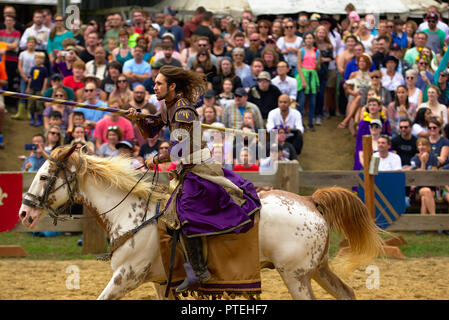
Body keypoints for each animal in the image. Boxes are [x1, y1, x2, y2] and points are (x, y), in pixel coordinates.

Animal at [16, 146, 382, 300]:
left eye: (45, 176)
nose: (24, 213)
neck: (133, 215)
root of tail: (309, 200)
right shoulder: (158, 284)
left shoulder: (125, 279)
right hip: (317, 270)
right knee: (347, 294)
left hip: (296, 276)